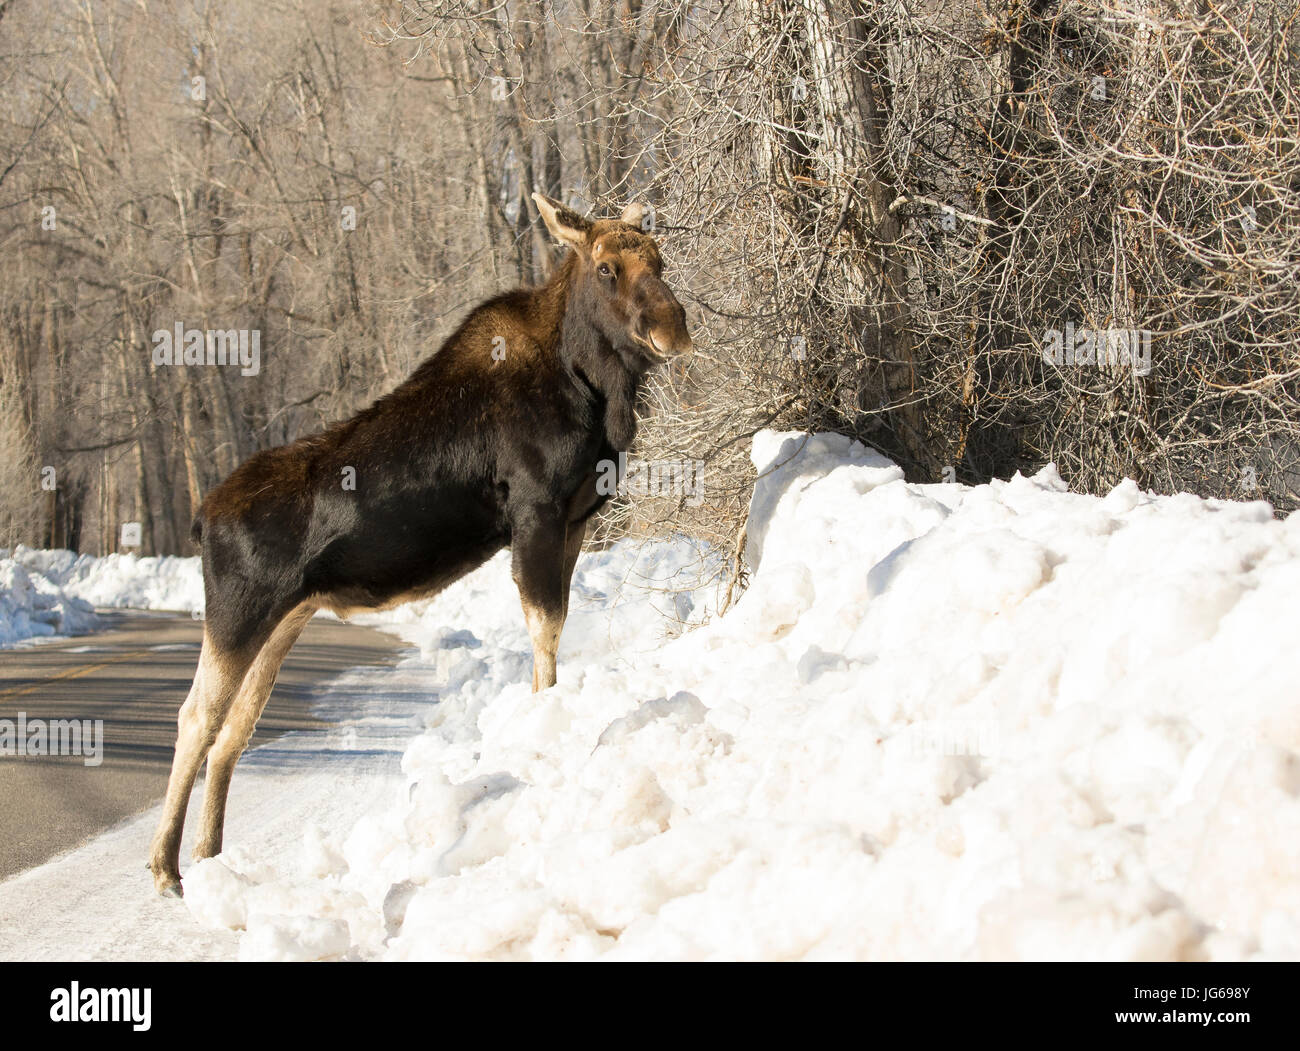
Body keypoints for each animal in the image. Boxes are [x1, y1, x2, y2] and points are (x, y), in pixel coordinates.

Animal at [147, 191, 691, 894]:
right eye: (606, 268)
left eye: (660, 260)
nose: (672, 327)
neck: (593, 385)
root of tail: (200, 517)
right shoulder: (536, 512)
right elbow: (544, 632)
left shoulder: (576, 523)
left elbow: (557, 625)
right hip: (237, 613)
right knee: (195, 719)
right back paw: (166, 867)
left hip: (283, 619)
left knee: (234, 731)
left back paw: (212, 859)